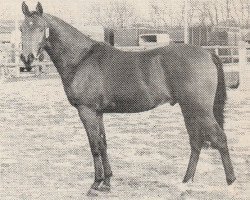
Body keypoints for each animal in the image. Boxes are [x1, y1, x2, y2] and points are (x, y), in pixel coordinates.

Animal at [20, 1, 236, 195]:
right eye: (21, 28)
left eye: (41, 28)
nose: (27, 58)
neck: (81, 59)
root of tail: (207, 53)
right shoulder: (98, 113)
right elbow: (103, 144)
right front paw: (107, 183)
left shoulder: (87, 111)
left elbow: (94, 146)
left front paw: (95, 184)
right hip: (189, 109)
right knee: (196, 142)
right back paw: (185, 182)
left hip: (200, 110)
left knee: (220, 138)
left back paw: (231, 183)